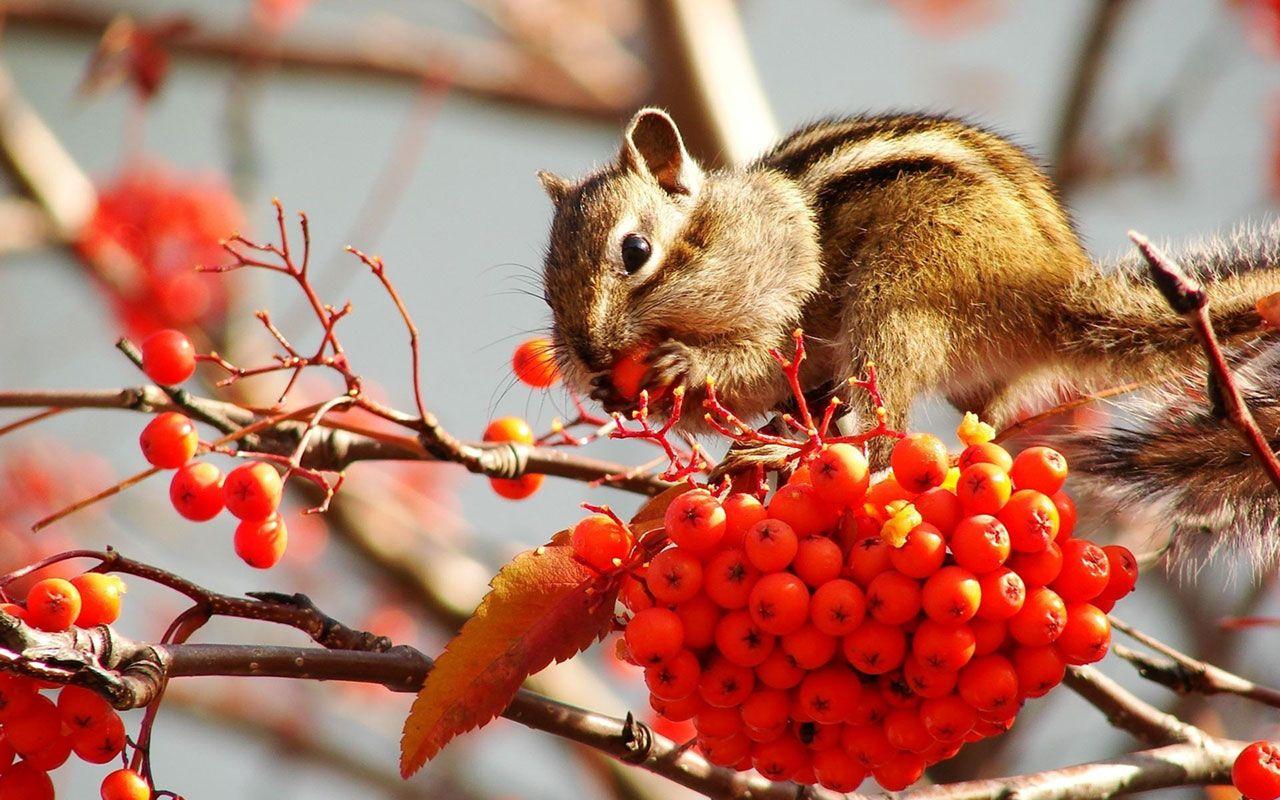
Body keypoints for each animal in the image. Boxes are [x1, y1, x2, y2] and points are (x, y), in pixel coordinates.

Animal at [536, 108, 1280, 552]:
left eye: (634, 251)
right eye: (546, 279)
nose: (590, 354)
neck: (717, 228)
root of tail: (1053, 292)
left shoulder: (784, 287)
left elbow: (759, 360)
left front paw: (687, 366)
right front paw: (618, 392)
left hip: (898, 297)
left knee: (881, 441)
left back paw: (788, 451)